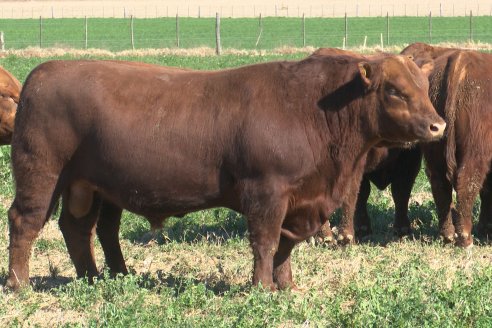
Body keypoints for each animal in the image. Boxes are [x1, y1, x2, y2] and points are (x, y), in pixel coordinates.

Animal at [6, 52, 446, 290]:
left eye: (423, 87)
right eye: (394, 90)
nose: (437, 125)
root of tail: (42, 74)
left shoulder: (299, 201)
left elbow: (285, 245)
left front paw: (285, 285)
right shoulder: (267, 193)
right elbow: (266, 242)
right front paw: (261, 287)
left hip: (92, 187)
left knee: (84, 229)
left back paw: (101, 278)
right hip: (42, 174)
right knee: (24, 222)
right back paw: (19, 283)